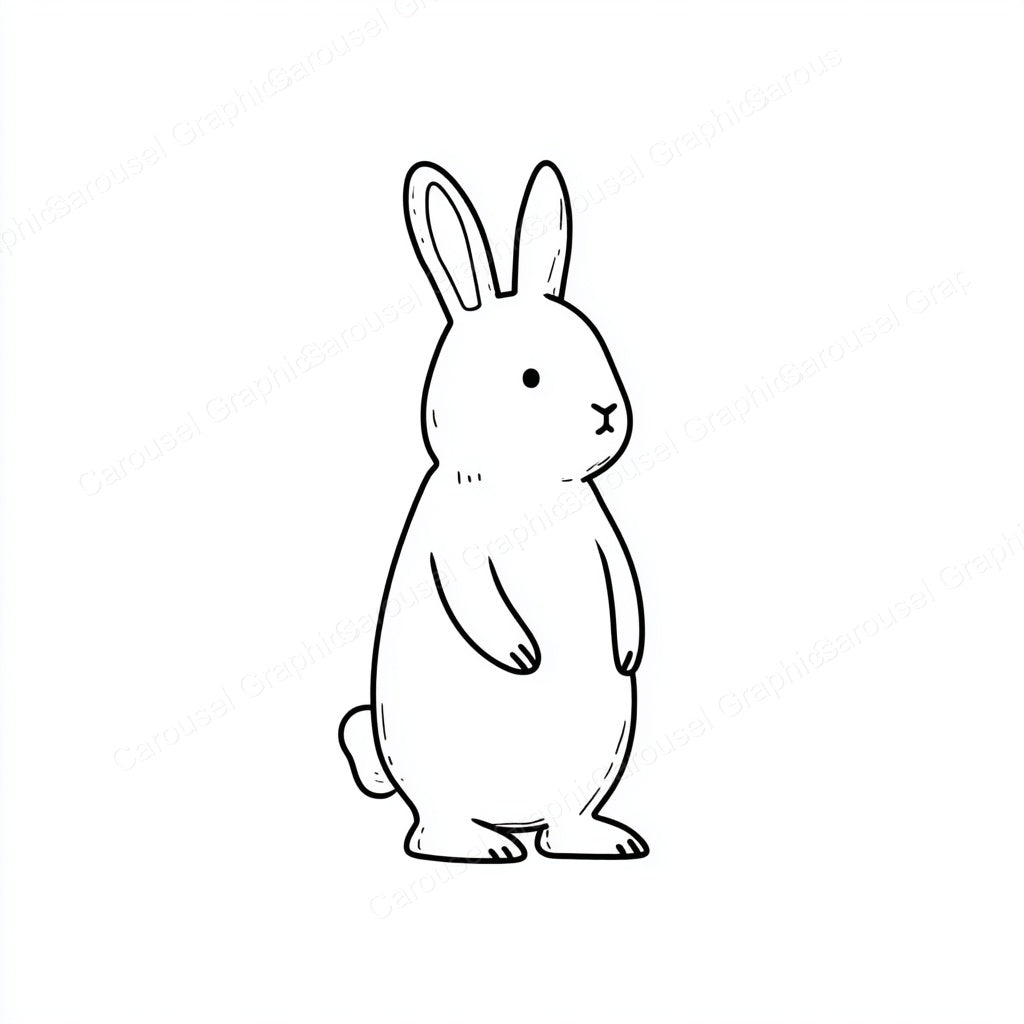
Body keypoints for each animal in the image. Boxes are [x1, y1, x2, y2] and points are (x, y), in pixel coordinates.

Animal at [339, 160, 647, 862]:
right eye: (530, 377)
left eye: (597, 347)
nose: (609, 411)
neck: (525, 484)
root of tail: (515, 817)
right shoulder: (453, 541)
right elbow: (471, 593)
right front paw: (521, 654)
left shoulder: (596, 526)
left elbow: (623, 581)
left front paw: (626, 650)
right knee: (435, 823)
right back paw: (482, 846)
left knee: (565, 822)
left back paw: (597, 840)